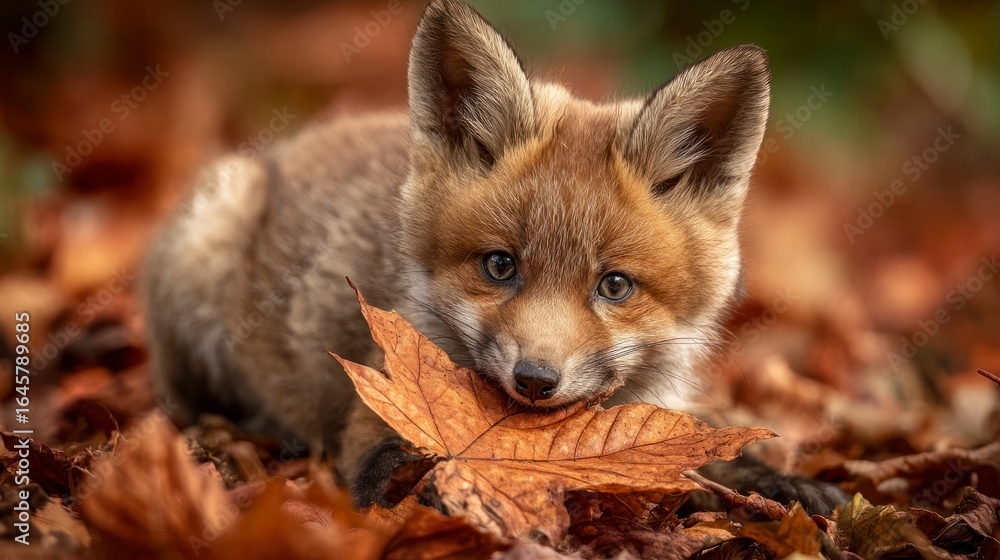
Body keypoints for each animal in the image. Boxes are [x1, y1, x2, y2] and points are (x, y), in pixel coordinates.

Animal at [144, 0, 845, 515]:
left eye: (615, 286)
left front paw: (784, 485)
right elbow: (392, 469)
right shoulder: (375, 418)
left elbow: (711, 454)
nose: (535, 380)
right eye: (500, 267)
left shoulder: (663, 416)